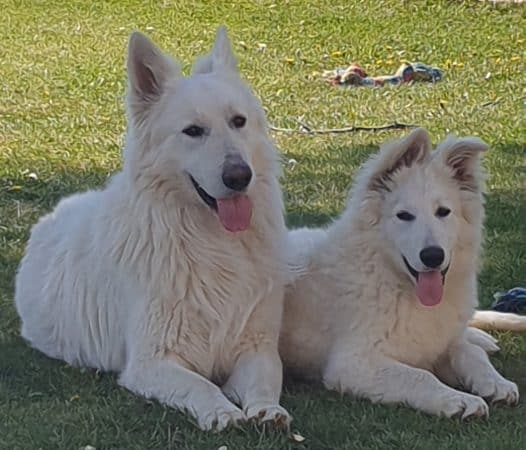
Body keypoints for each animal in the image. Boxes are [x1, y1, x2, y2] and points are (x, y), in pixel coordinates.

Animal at [15, 26, 292, 430]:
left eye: (238, 122)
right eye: (193, 131)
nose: (240, 176)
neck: (211, 243)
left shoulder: (257, 346)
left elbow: (266, 378)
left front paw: (266, 411)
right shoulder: (151, 362)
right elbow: (200, 385)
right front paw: (222, 411)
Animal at [282, 128, 524, 420]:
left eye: (443, 212)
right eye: (404, 216)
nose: (432, 256)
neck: (390, 276)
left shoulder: (439, 343)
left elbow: (470, 352)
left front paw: (496, 382)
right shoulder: (354, 364)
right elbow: (420, 376)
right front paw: (459, 399)